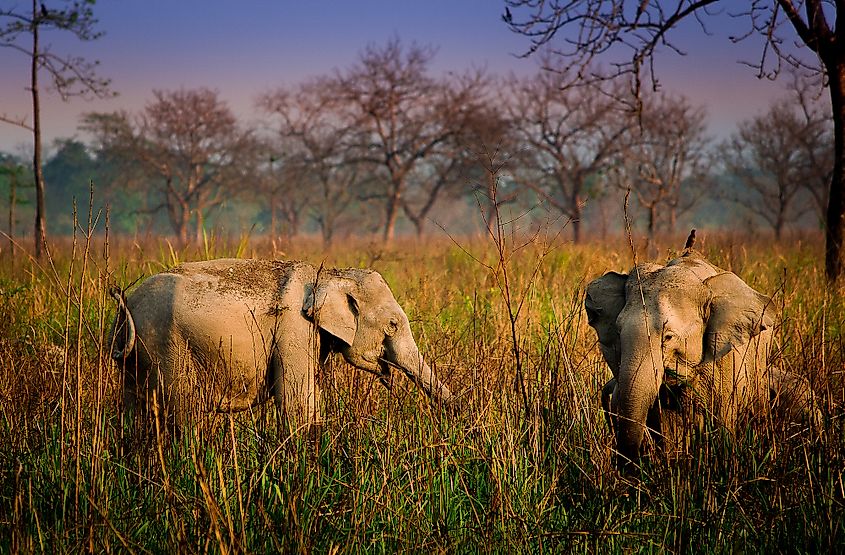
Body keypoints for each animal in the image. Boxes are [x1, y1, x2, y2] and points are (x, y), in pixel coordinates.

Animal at [110, 258, 454, 428]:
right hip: (167, 346)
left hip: (137, 356)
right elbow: (297, 403)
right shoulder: (294, 328)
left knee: (133, 412)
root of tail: (128, 305)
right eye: (392, 325)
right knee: (183, 412)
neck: (329, 273)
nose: (458, 415)